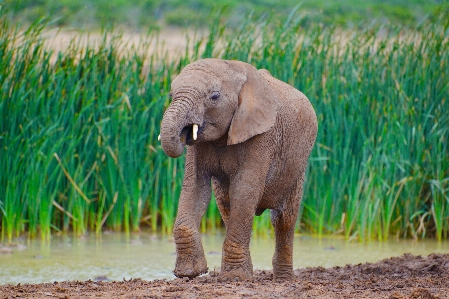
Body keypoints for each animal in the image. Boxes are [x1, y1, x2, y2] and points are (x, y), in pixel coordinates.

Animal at [159, 59, 316, 284]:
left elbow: (244, 190)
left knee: (284, 220)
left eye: (214, 96)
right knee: (226, 206)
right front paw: (190, 273)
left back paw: (284, 280)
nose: (183, 135)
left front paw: (234, 278)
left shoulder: (263, 135)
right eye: (171, 94)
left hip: (298, 166)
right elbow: (195, 187)